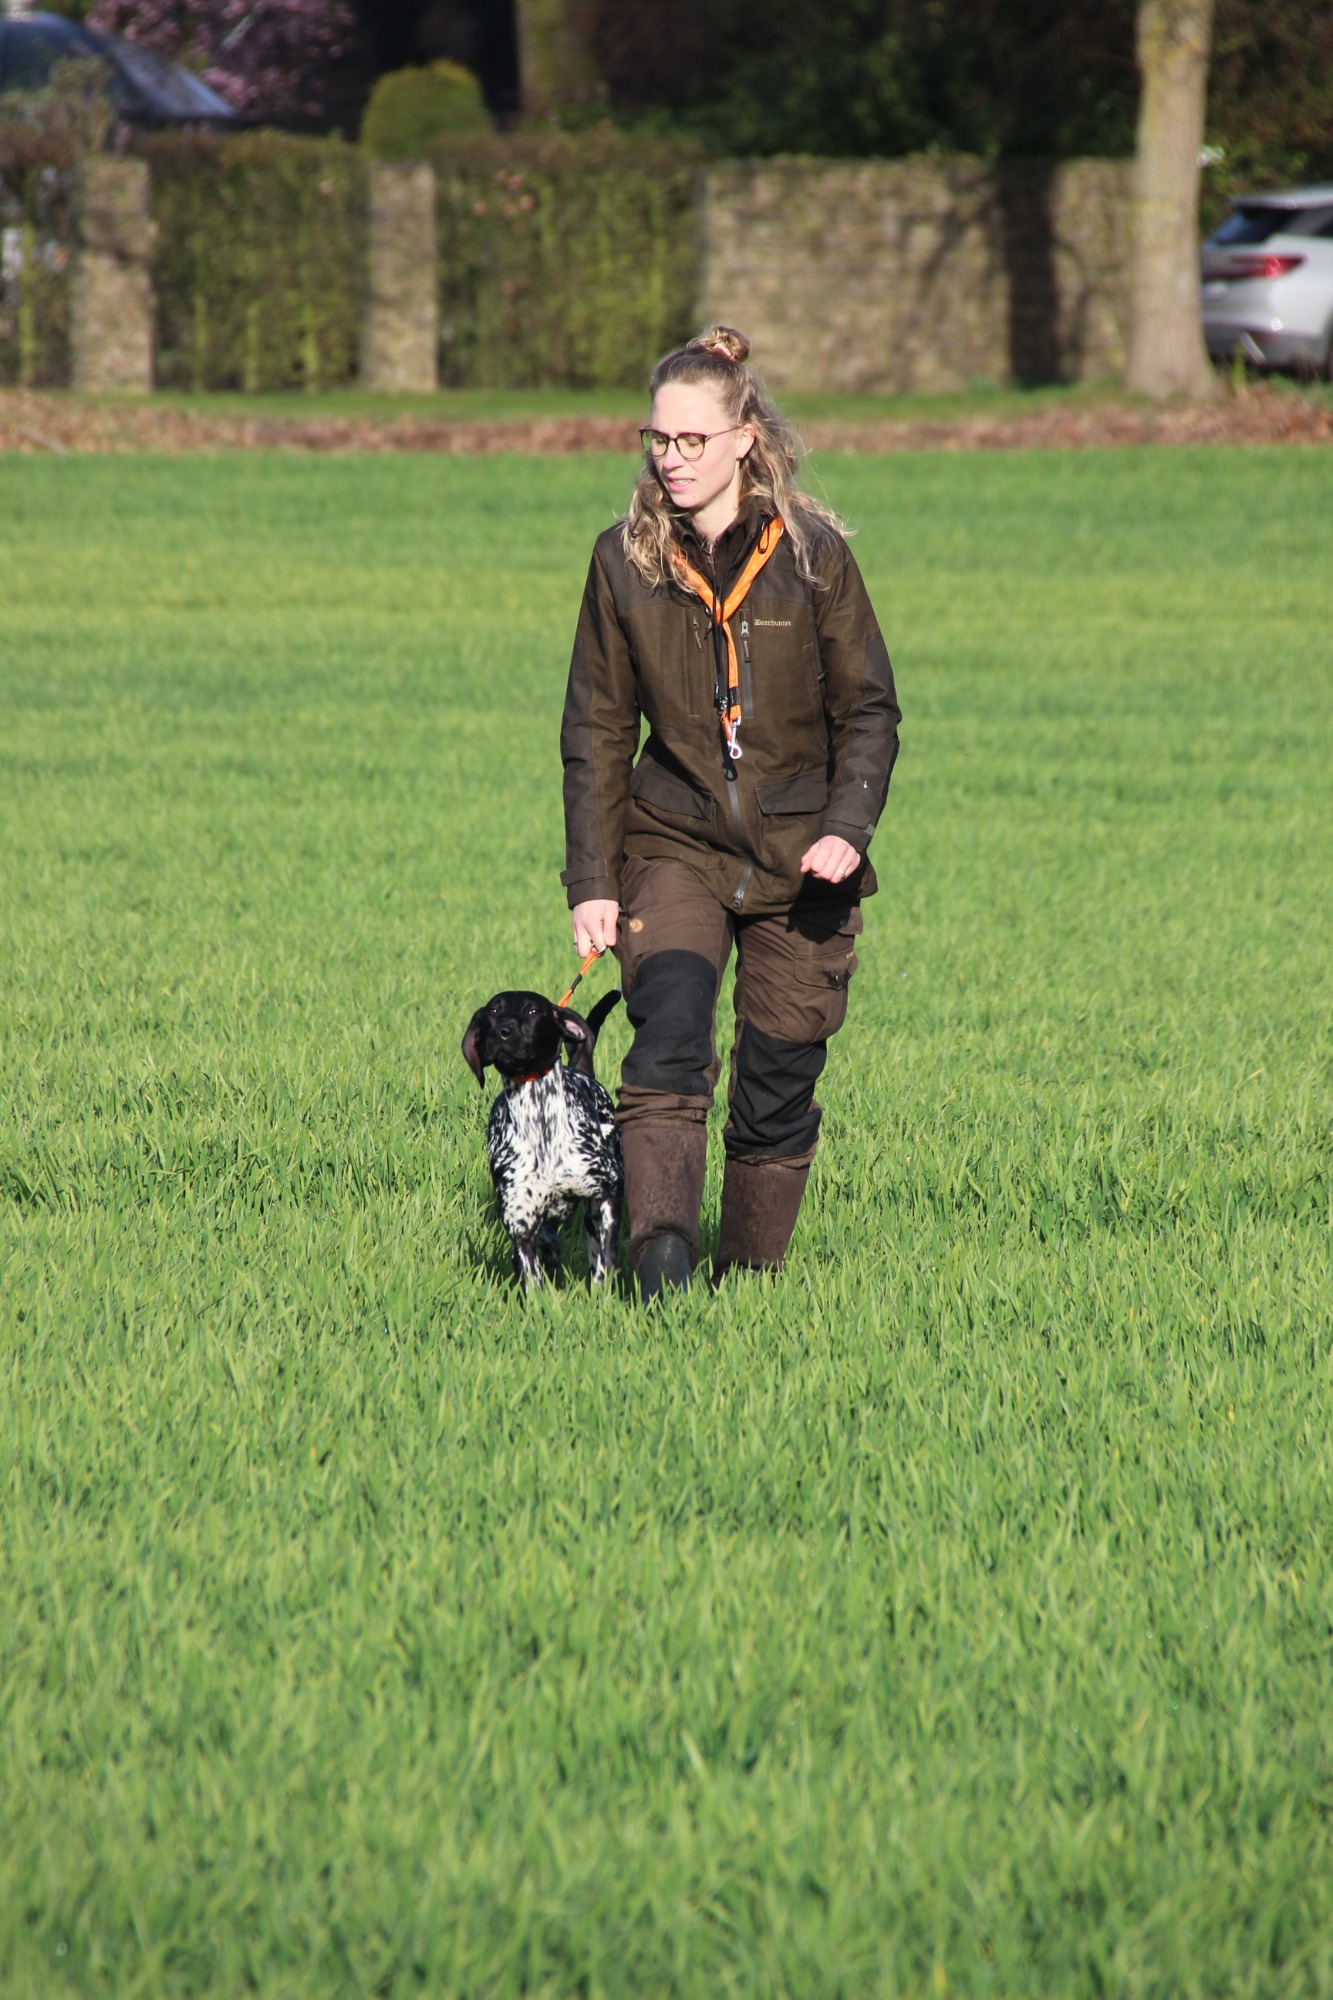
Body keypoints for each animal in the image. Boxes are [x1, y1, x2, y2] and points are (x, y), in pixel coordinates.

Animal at [462, 988, 623, 1290]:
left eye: (533, 1011)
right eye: (493, 1011)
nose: (502, 1031)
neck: (539, 1120)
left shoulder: (607, 1192)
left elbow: (605, 1260)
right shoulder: (521, 1227)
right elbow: (532, 1281)